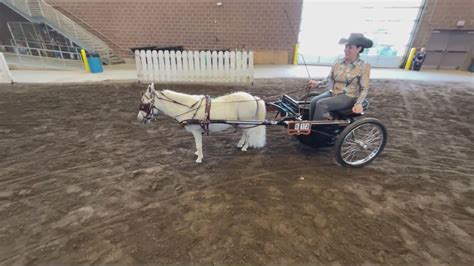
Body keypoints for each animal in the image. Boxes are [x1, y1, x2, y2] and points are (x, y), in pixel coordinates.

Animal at [138, 83, 266, 162]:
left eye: (144, 104)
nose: (139, 118)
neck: (188, 108)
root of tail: (253, 98)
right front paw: (197, 154)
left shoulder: (196, 131)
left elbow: (198, 145)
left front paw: (199, 158)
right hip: (241, 122)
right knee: (245, 133)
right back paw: (240, 144)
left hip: (245, 122)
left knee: (248, 133)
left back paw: (245, 147)